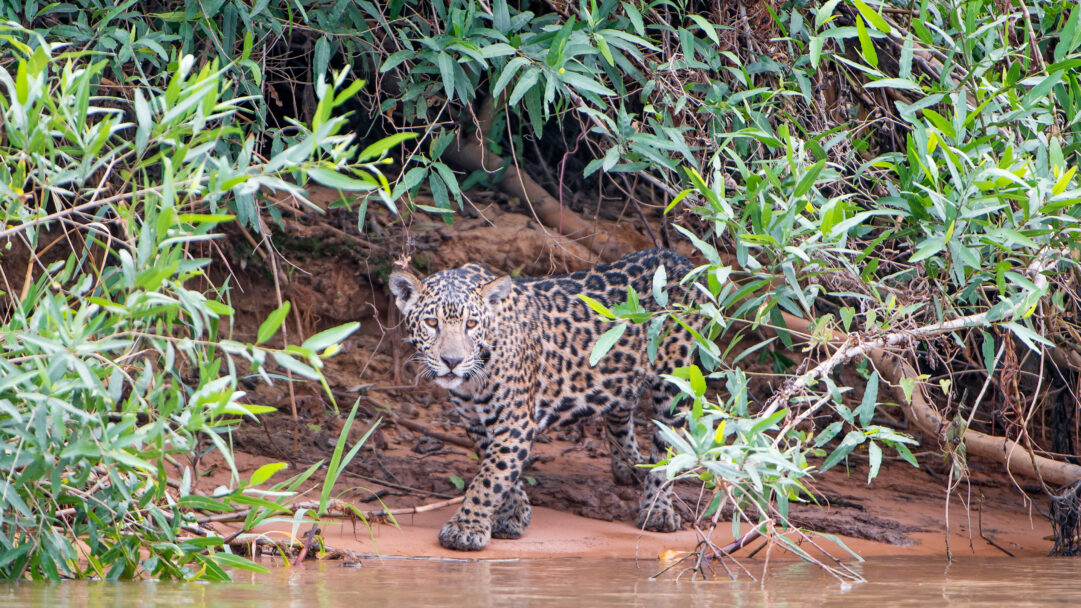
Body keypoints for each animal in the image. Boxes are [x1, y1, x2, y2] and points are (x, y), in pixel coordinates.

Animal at [388, 248, 701, 551]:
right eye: (432, 323)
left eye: (471, 324)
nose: (452, 361)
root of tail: (675, 257)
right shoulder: (477, 422)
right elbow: (500, 469)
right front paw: (514, 514)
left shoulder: (515, 421)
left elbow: (490, 478)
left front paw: (466, 529)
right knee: (621, 411)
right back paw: (631, 465)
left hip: (676, 383)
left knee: (668, 449)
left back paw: (658, 510)